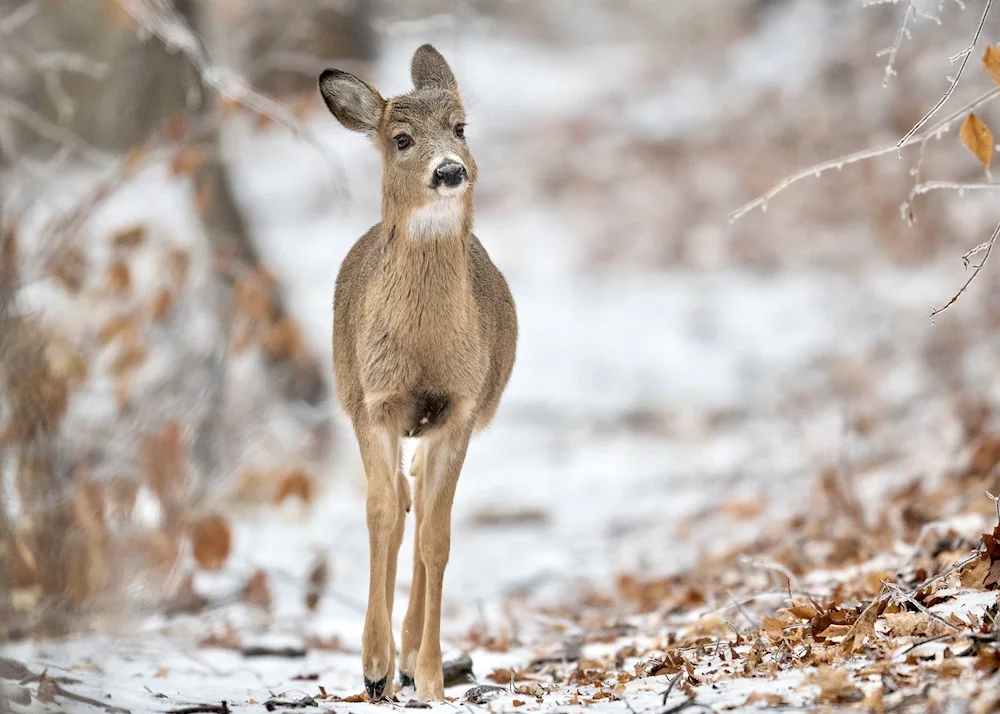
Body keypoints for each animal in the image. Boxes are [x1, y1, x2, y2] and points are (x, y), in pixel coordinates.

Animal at [318, 46, 520, 700]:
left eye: (461, 127)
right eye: (401, 139)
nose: (451, 170)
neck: (424, 348)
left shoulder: (460, 407)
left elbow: (438, 538)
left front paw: (427, 676)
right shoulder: (372, 401)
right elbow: (381, 516)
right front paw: (372, 664)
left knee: (423, 514)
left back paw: (409, 659)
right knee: (400, 506)